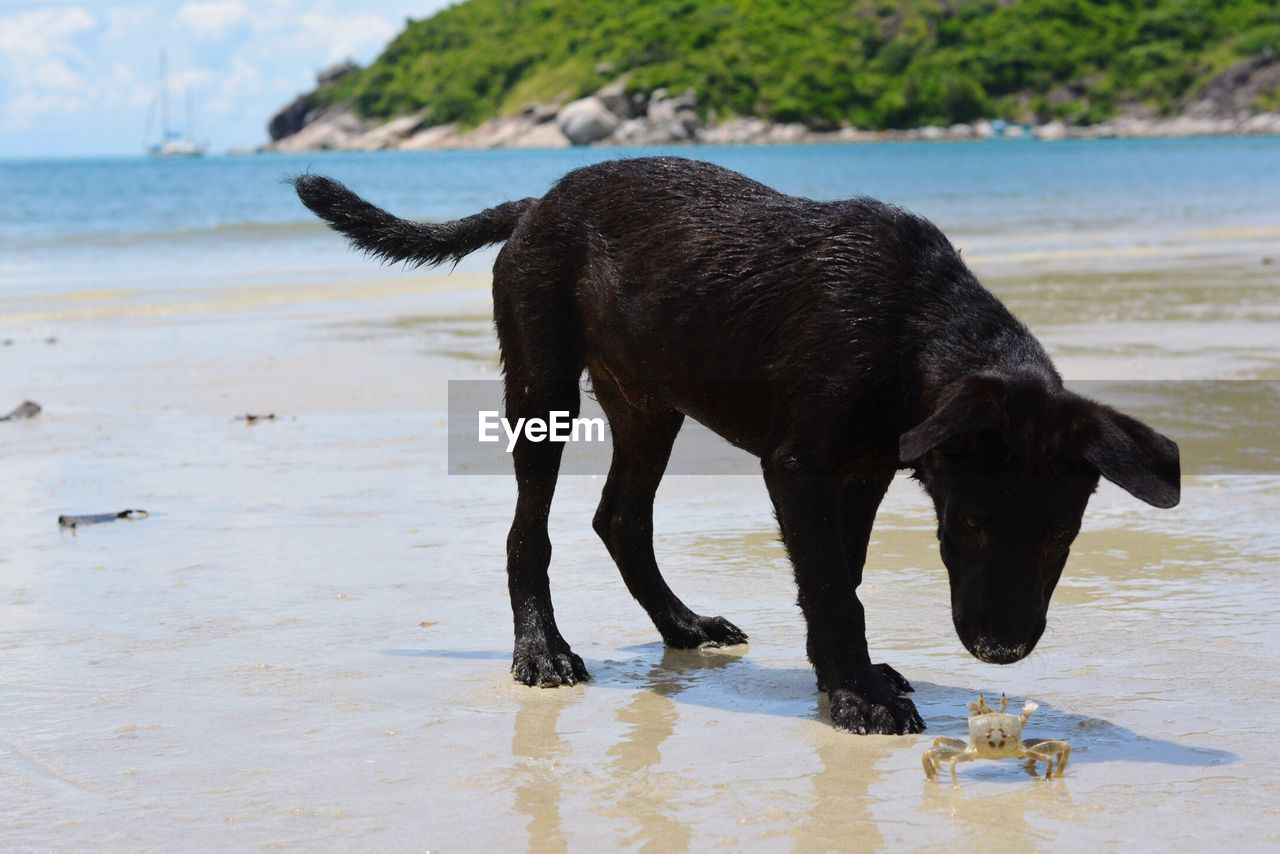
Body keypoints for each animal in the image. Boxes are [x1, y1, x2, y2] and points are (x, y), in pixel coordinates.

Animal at [294, 158, 1172, 737]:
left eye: (1062, 538)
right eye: (968, 529)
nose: (1001, 649)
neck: (914, 324)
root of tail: (537, 203)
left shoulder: (864, 473)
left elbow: (843, 573)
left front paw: (848, 675)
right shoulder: (800, 467)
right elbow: (832, 587)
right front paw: (859, 695)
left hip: (649, 403)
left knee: (620, 519)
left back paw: (681, 626)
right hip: (543, 389)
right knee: (527, 533)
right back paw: (542, 651)